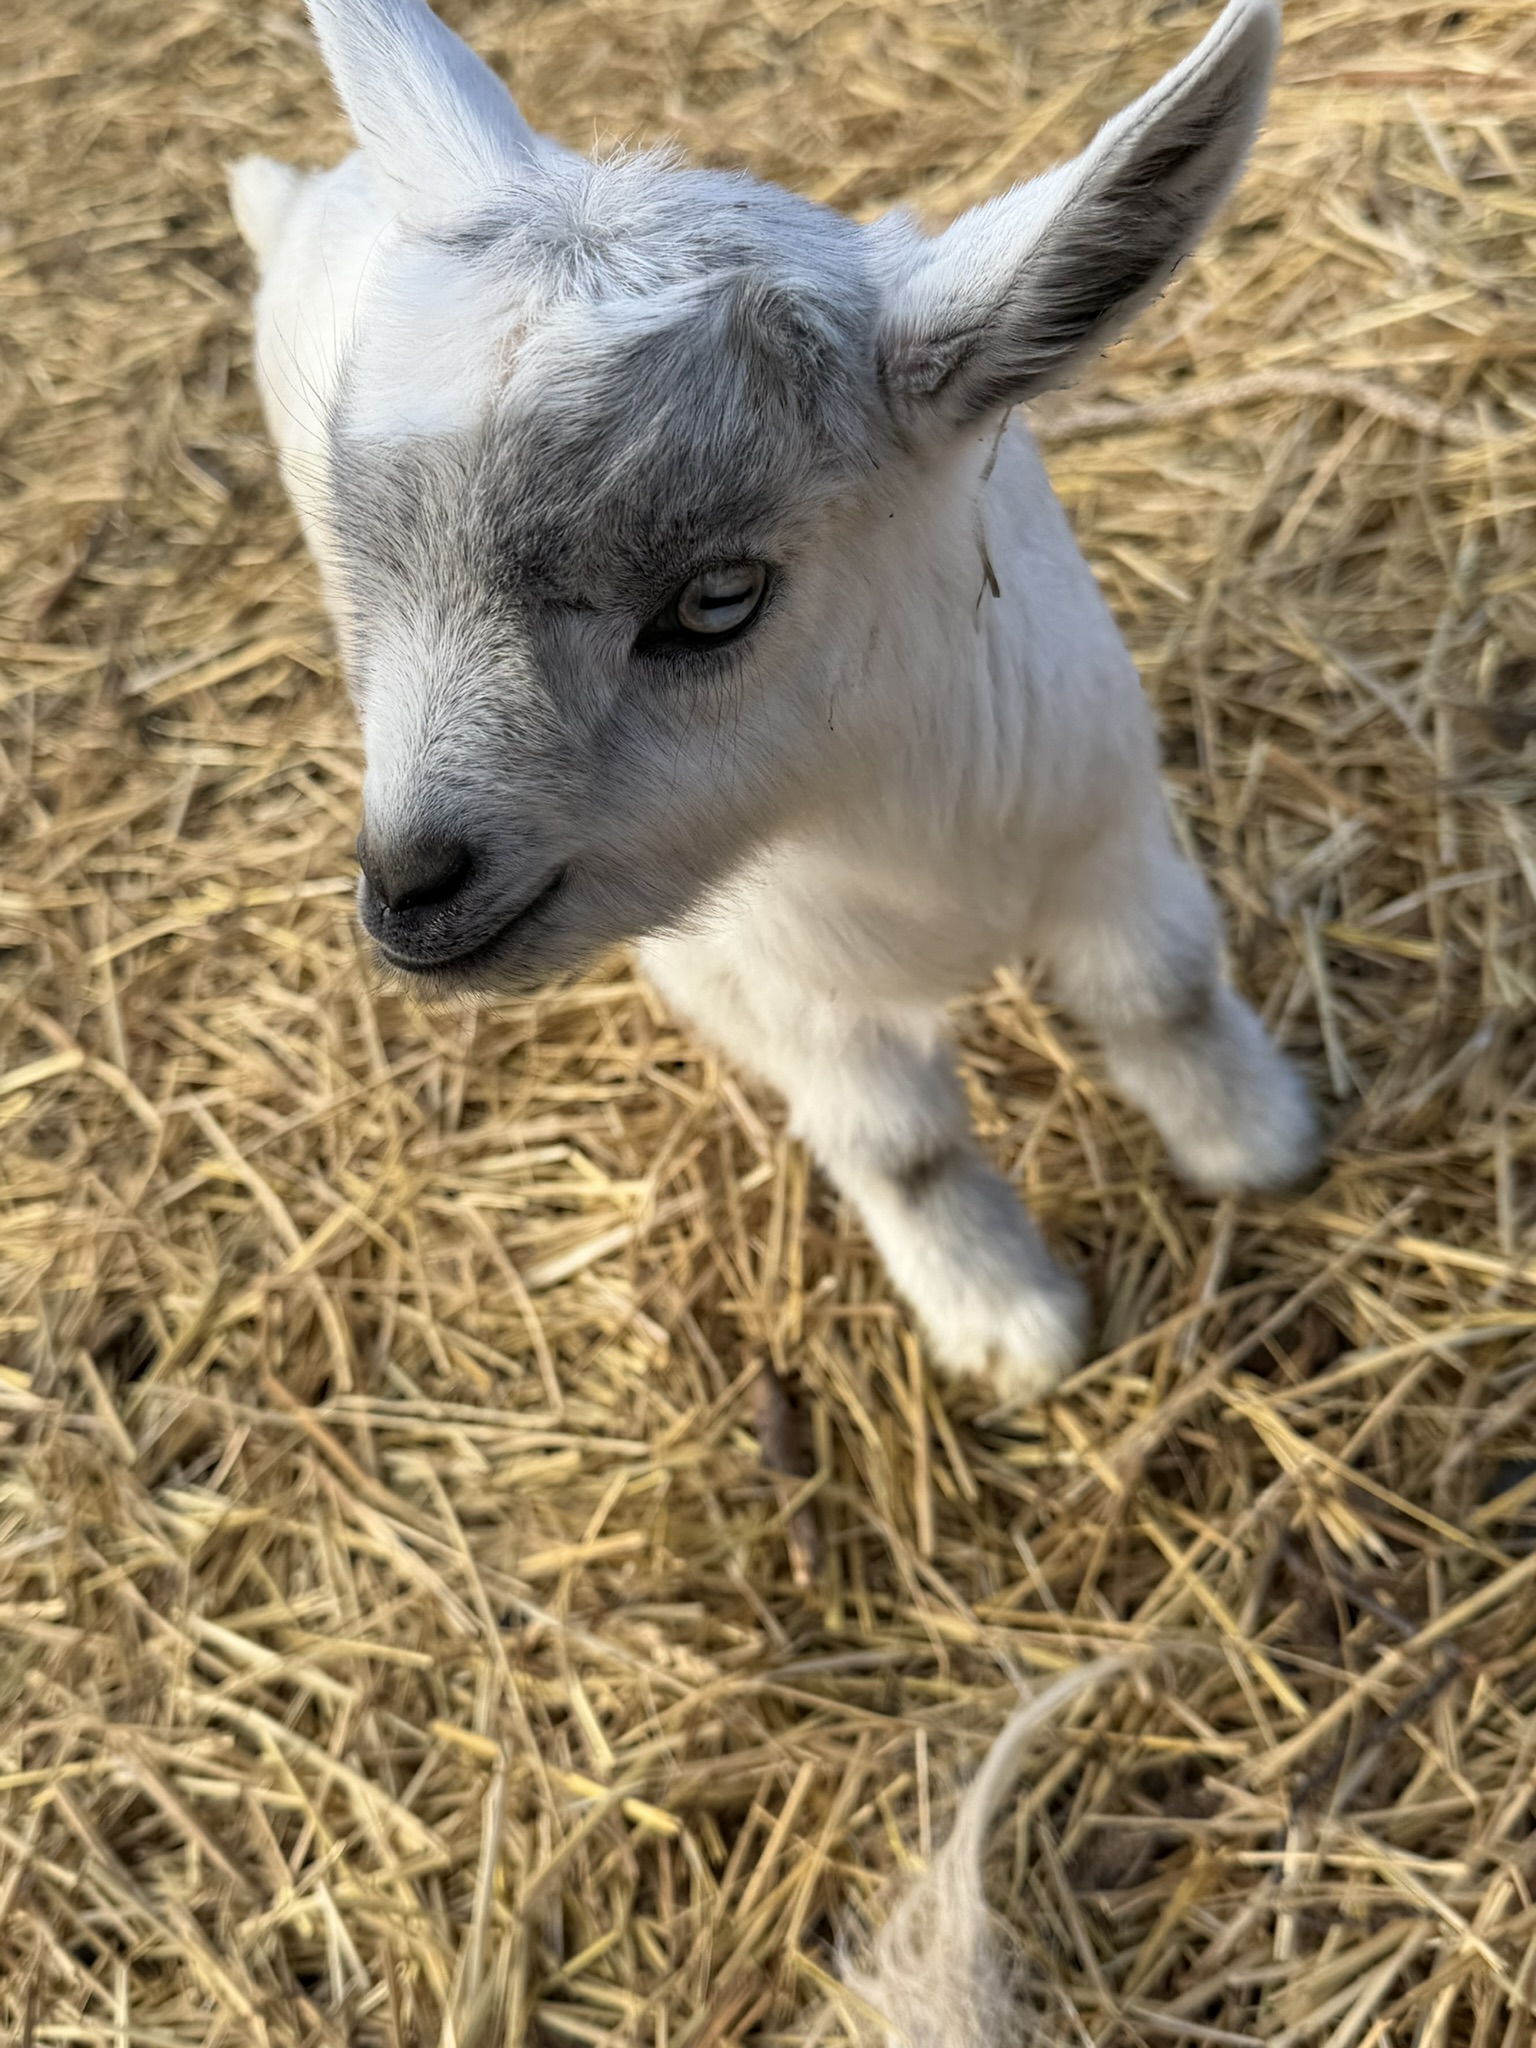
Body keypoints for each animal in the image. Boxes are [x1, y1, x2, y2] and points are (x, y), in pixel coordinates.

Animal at [230, 0, 1317, 1405]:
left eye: (717, 598)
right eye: (384, 564)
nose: (410, 888)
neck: (917, 840)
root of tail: (319, 188)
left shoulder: (1103, 825)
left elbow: (1163, 988)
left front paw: (1259, 1143)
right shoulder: (777, 988)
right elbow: (900, 1145)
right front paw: (1009, 1327)